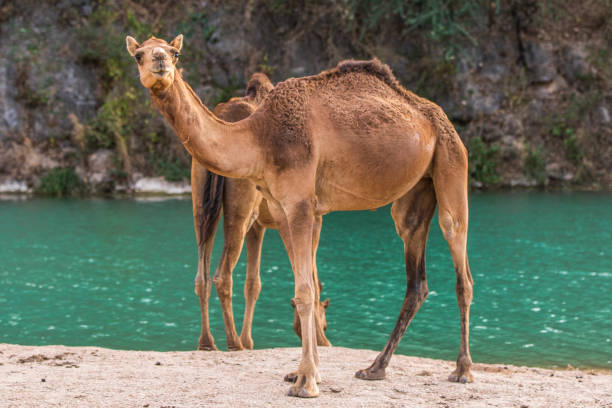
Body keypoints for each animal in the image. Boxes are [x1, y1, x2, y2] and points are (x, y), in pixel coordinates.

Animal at [194, 73, 332, 350]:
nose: (324, 328)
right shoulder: (312, 218)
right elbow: (311, 277)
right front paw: (322, 341)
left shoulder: (259, 226)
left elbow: (253, 282)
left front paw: (250, 340)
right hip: (240, 212)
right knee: (222, 275)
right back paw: (233, 342)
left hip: (202, 203)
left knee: (202, 274)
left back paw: (208, 342)